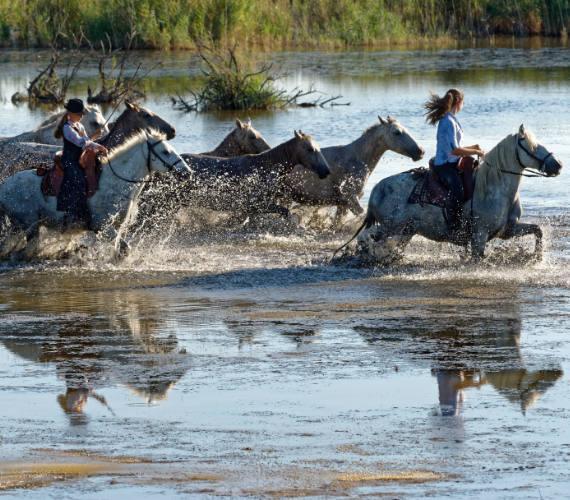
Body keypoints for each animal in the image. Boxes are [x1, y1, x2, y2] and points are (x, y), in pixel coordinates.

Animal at [0, 130, 189, 258]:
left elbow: (125, 249)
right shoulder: (102, 226)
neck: (115, 181)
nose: (187, 172)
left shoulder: (118, 226)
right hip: (29, 224)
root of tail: (4, 187)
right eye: (165, 151)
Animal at [336, 125, 560, 264]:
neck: (495, 188)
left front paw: (536, 258)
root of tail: (377, 189)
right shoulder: (479, 235)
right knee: (365, 238)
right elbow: (478, 258)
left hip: (406, 230)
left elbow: (538, 230)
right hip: (391, 227)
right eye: (533, 147)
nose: (557, 165)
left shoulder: (507, 229)